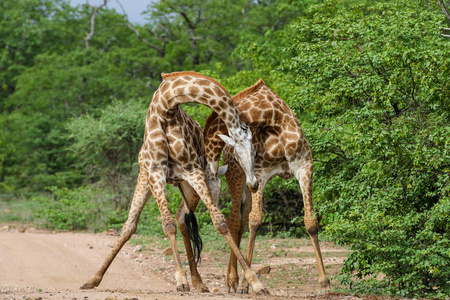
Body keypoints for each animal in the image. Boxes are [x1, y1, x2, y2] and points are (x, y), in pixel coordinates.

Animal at [79, 71, 268, 294]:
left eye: (255, 152)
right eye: (237, 158)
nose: (253, 184)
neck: (167, 108)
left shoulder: (192, 171)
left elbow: (219, 221)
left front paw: (255, 282)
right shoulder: (155, 172)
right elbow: (167, 225)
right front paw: (180, 280)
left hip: (194, 185)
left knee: (183, 218)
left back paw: (199, 281)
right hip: (148, 180)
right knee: (131, 225)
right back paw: (93, 279)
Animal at [202, 78, 328, 292]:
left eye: (254, 152)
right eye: (235, 158)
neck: (274, 119)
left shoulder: (304, 167)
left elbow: (310, 221)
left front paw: (324, 281)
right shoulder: (261, 173)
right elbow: (255, 221)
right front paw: (246, 284)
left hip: (247, 185)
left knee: (241, 220)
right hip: (237, 179)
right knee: (235, 219)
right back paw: (232, 280)